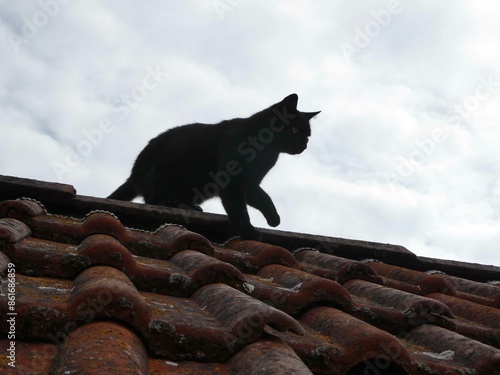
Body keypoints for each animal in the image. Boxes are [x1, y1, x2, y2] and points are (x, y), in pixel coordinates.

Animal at [109, 94, 320, 241]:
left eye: (308, 135)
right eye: (295, 130)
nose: (304, 145)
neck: (268, 151)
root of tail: (134, 174)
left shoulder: (251, 184)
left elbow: (264, 198)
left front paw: (274, 218)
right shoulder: (232, 181)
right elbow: (239, 209)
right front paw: (249, 232)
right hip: (162, 173)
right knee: (153, 199)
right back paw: (173, 203)